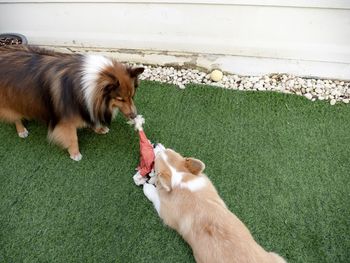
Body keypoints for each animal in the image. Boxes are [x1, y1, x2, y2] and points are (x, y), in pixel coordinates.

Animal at [0, 45, 144, 161]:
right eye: (120, 99)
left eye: (132, 96)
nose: (134, 116)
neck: (89, 86)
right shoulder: (66, 121)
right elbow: (72, 137)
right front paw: (75, 154)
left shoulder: (88, 104)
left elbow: (91, 117)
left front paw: (99, 128)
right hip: (10, 101)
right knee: (15, 118)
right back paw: (22, 131)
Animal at [144, 145, 286, 262]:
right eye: (169, 149)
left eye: (155, 161)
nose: (156, 145)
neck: (180, 179)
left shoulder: (165, 212)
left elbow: (155, 195)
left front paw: (148, 186)